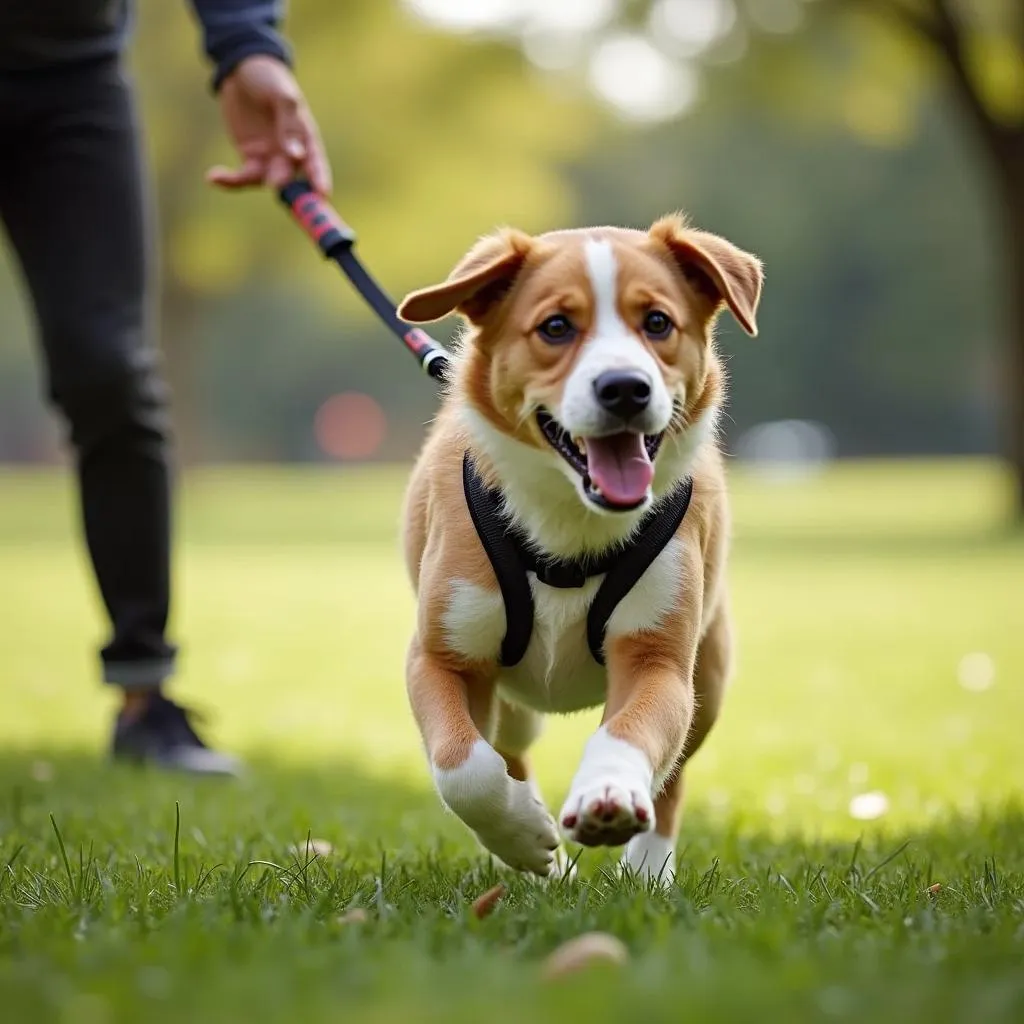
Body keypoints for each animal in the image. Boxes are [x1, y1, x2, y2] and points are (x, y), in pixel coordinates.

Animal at [395, 214, 765, 880]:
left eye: (658, 322)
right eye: (556, 327)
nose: (625, 388)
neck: (572, 529)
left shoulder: (657, 658)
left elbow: (632, 732)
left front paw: (607, 794)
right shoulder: (441, 657)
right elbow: (464, 769)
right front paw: (524, 837)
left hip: (710, 675)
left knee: (674, 775)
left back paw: (647, 872)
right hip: (510, 702)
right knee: (507, 749)